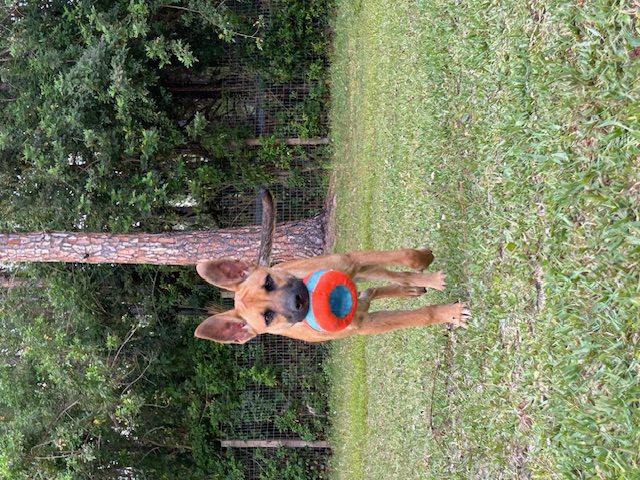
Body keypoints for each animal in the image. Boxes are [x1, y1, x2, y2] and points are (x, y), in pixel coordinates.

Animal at [192, 249, 468, 344]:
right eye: (267, 317)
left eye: (268, 282)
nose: (299, 299)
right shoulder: (367, 325)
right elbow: (420, 316)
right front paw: (451, 314)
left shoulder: (353, 261)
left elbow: (408, 257)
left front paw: (424, 259)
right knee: (375, 291)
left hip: (359, 270)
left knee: (396, 276)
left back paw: (424, 281)